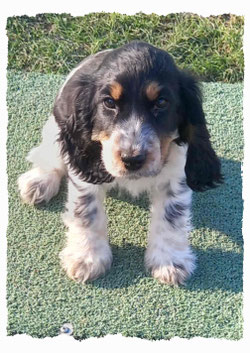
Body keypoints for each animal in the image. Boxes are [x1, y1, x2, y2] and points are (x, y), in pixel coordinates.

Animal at [18, 40, 223, 284]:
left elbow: (171, 216)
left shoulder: (176, 175)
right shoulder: (85, 172)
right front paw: (87, 257)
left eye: (161, 102)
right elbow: (86, 212)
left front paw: (170, 261)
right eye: (109, 102)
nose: (132, 159)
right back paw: (39, 182)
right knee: (49, 155)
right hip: (56, 127)